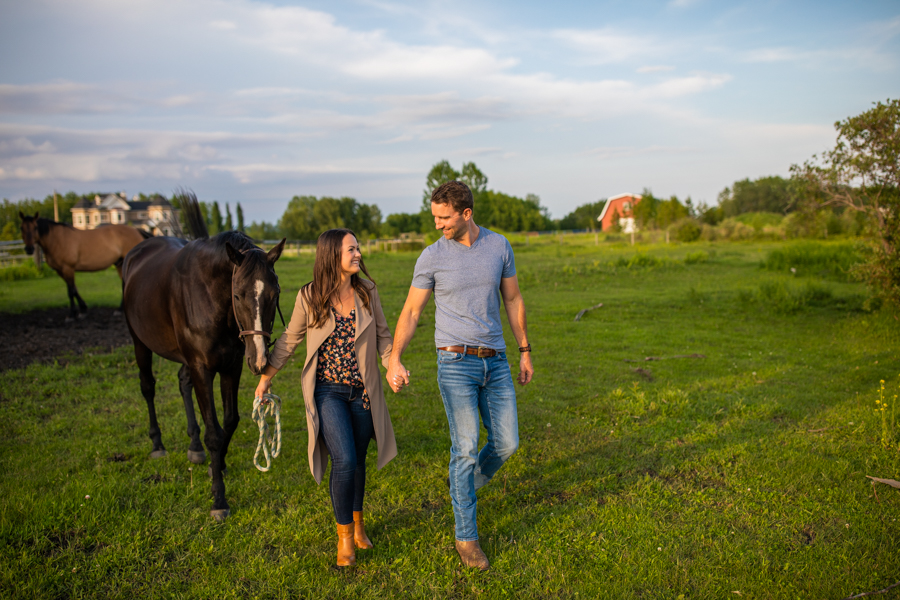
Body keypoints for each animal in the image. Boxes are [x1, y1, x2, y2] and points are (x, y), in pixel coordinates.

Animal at [19, 213, 152, 322]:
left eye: (35, 227)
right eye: (21, 228)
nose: (29, 249)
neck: (56, 239)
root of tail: (136, 230)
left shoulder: (67, 268)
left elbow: (71, 291)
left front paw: (73, 314)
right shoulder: (60, 270)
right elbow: (74, 289)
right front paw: (83, 309)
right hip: (120, 264)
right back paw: (120, 310)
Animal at [123, 196, 284, 520]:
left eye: (275, 294)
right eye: (238, 295)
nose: (260, 360)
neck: (209, 297)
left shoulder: (231, 367)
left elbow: (230, 422)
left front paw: (216, 464)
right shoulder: (202, 368)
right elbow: (214, 432)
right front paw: (219, 499)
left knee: (182, 383)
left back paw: (194, 446)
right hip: (140, 343)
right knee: (148, 387)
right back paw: (157, 443)